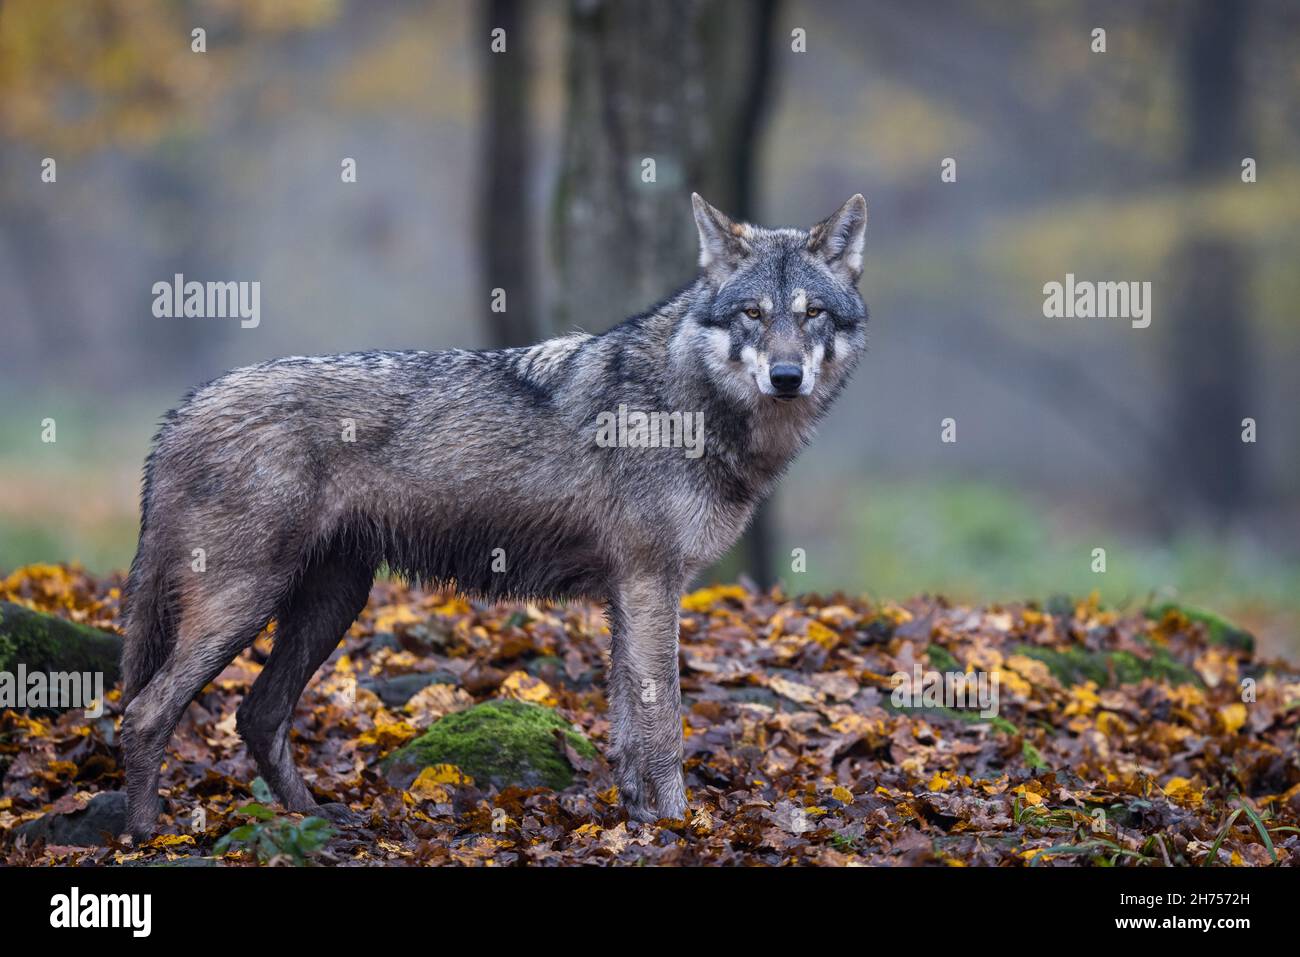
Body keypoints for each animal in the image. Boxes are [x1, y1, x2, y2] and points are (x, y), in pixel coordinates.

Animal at [120, 193, 869, 839]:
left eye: (811, 315)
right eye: (752, 314)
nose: (786, 376)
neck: (688, 402)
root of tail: (179, 413)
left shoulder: (630, 594)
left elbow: (629, 728)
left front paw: (640, 821)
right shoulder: (651, 585)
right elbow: (664, 726)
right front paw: (680, 828)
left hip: (329, 603)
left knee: (258, 714)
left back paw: (318, 820)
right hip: (247, 602)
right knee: (144, 711)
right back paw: (146, 833)